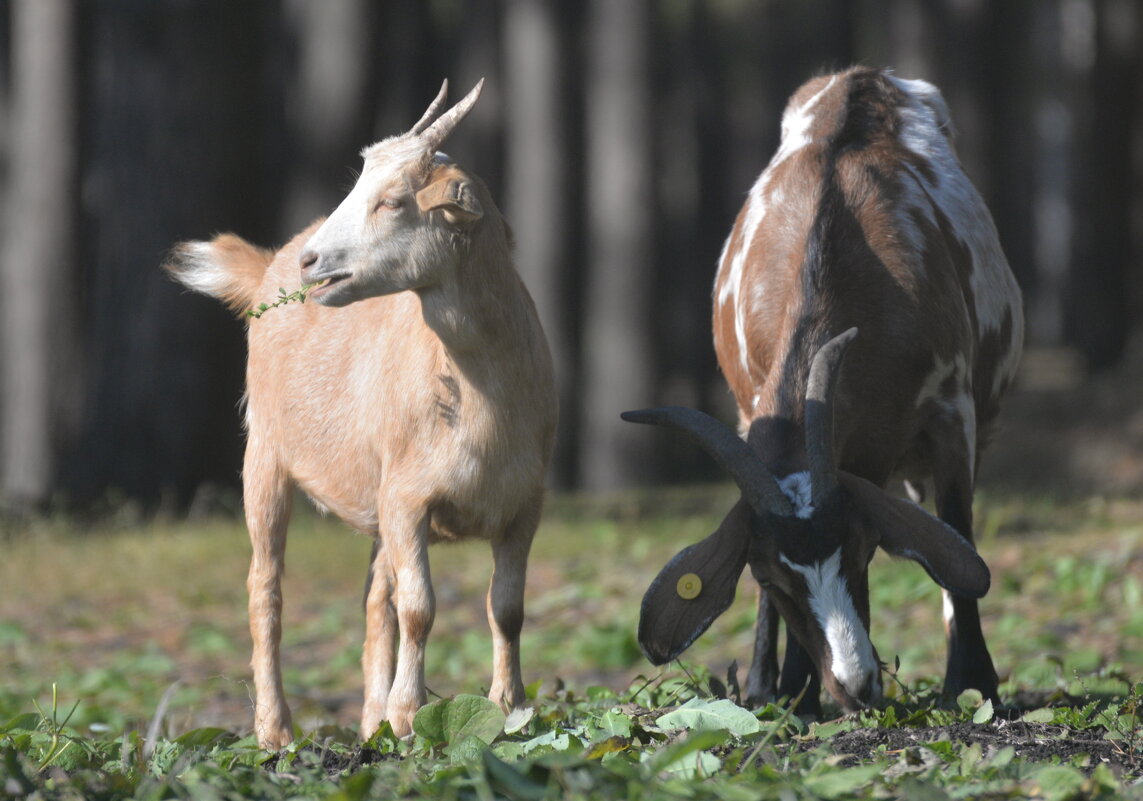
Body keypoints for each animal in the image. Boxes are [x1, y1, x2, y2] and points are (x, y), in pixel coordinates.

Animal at [165, 81, 557, 745]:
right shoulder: (408, 498)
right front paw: (409, 715)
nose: (312, 262)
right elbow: (420, 608)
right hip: (264, 459)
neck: (481, 401)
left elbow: (505, 609)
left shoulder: (521, 504)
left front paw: (508, 707)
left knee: (376, 599)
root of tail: (268, 264)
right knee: (265, 591)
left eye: (394, 201)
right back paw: (276, 730)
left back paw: (370, 720)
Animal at [626, 63, 1028, 713]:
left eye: (862, 549)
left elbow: (957, 533)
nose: (856, 682)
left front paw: (971, 683)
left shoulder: (952, 411)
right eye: (768, 574)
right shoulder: (751, 415)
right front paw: (795, 691)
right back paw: (769, 686)